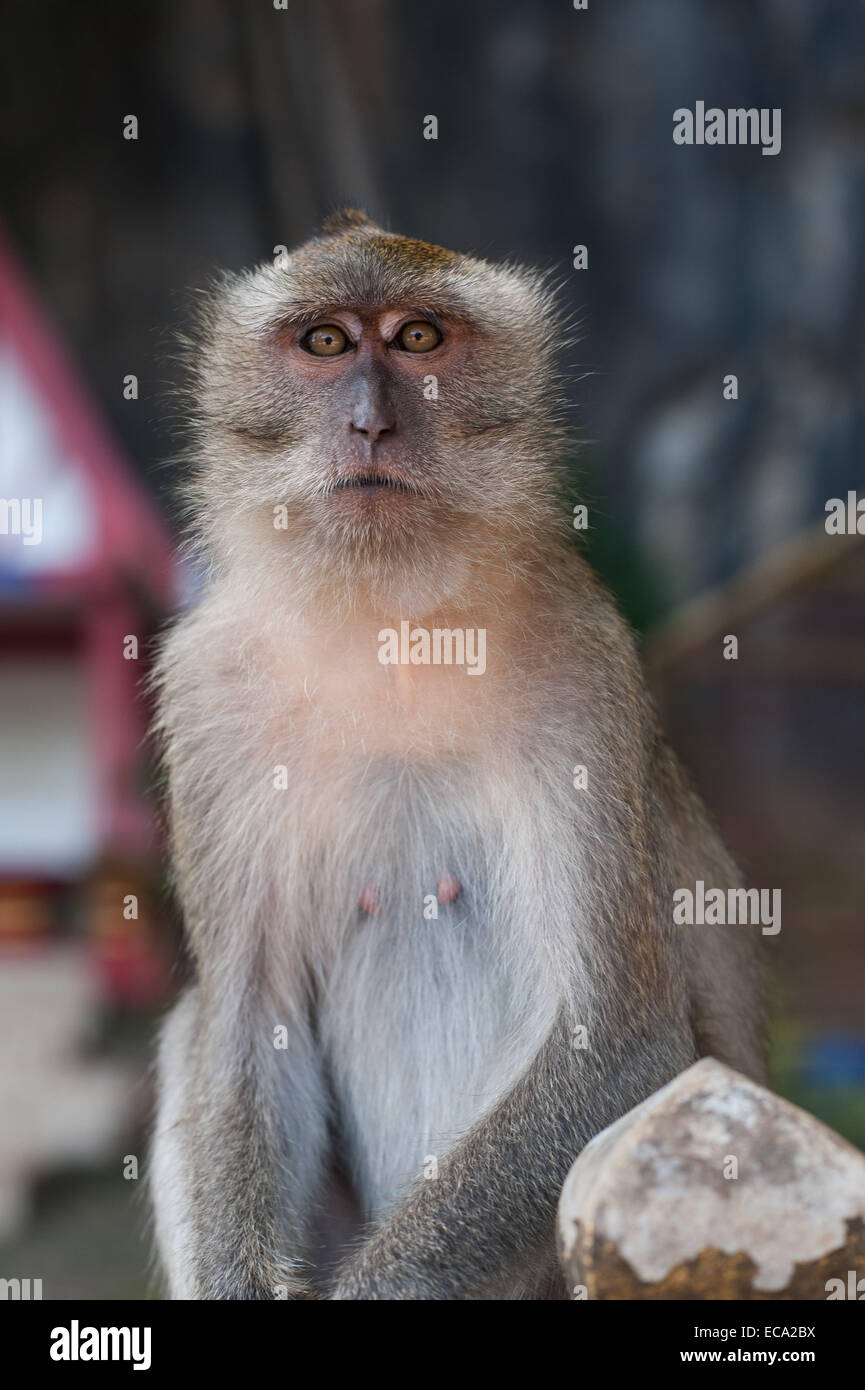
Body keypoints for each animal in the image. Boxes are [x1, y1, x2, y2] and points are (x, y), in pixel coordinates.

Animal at [148, 208, 767, 1301]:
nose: (370, 426)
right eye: (324, 342)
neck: (385, 627)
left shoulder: (577, 660)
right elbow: (243, 1030)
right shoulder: (209, 690)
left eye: (418, 339)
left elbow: (611, 1041)